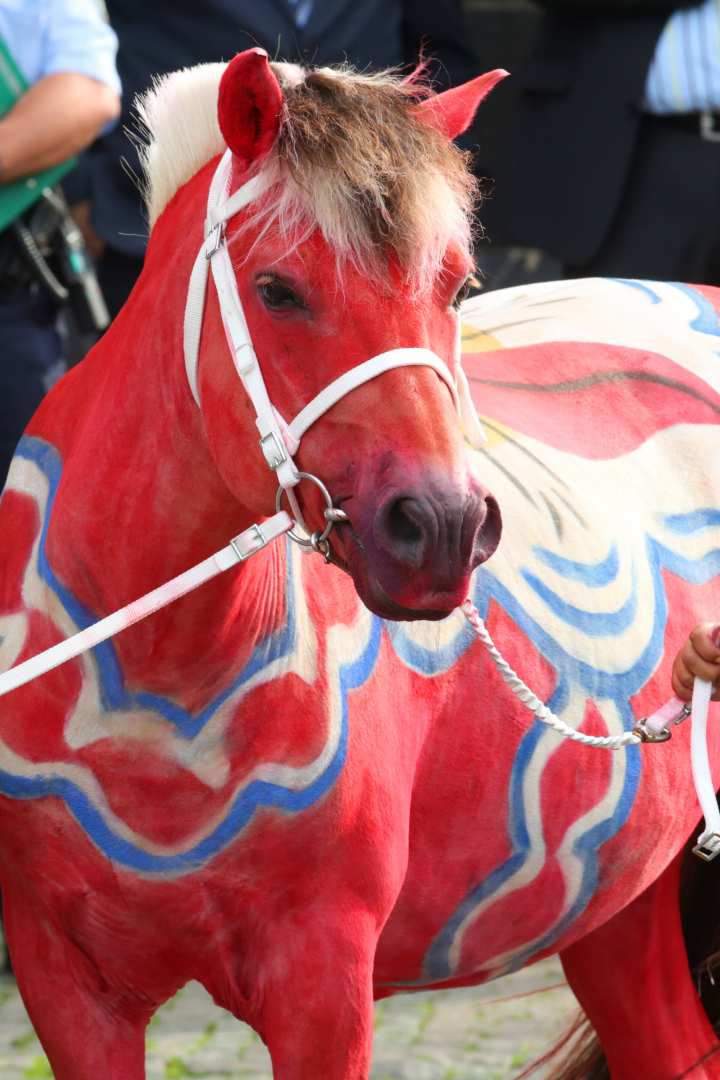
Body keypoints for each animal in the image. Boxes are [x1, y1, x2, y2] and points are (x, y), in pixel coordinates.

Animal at [1, 48, 720, 1080]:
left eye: (455, 287)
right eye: (277, 289)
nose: (445, 527)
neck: (151, 693)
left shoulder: (324, 983)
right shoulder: (69, 985)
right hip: (619, 904)